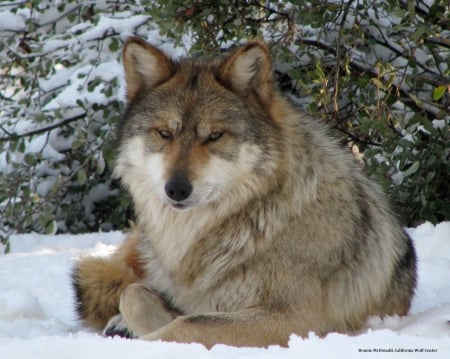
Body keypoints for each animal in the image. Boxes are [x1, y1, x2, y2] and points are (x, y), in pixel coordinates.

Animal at [71, 37, 418, 348]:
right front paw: (144, 319)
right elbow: (135, 296)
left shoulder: (293, 319)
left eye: (214, 136)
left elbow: (188, 324)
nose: (176, 189)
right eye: (164, 133)